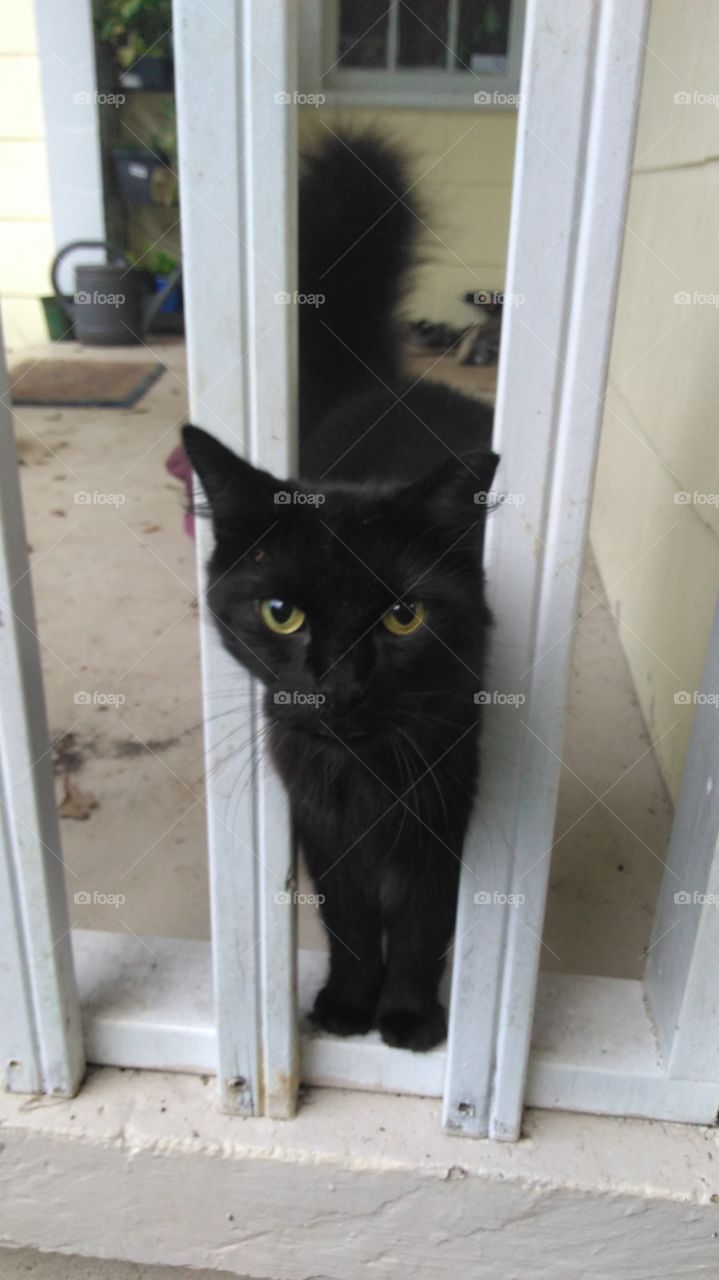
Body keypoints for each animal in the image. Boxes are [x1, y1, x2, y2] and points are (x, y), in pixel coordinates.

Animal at [179, 127, 496, 1049]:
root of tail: (386, 384)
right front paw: (350, 1005)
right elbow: (351, 918)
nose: (337, 685)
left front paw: (409, 1017)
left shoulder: (442, 809)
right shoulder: (318, 820)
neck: (363, 774)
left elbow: (422, 923)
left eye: (402, 617)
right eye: (280, 613)